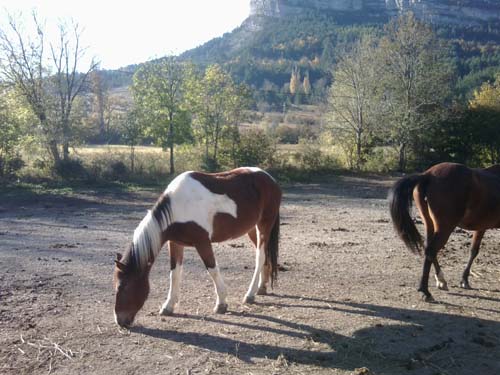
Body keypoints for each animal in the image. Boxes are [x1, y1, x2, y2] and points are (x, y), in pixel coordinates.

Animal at [112, 167, 282, 328]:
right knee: (265, 256)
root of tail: (270, 179)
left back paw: (250, 294)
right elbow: (174, 274)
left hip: (264, 225)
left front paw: (221, 304)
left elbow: (212, 270)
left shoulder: (202, 242)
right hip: (252, 229)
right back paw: (261, 287)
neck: (177, 207)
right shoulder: (175, 243)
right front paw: (168, 306)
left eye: (123, 287)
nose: (120, 321)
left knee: (260, 257)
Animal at [390, 162, 500, 302]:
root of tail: (428, 175)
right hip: (445, 227)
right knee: (431, 250)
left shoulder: (481, 227)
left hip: (429, 223)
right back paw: (426, 291)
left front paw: (464, 280)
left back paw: (441, 280)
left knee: (429, 249)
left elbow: (473, 251)